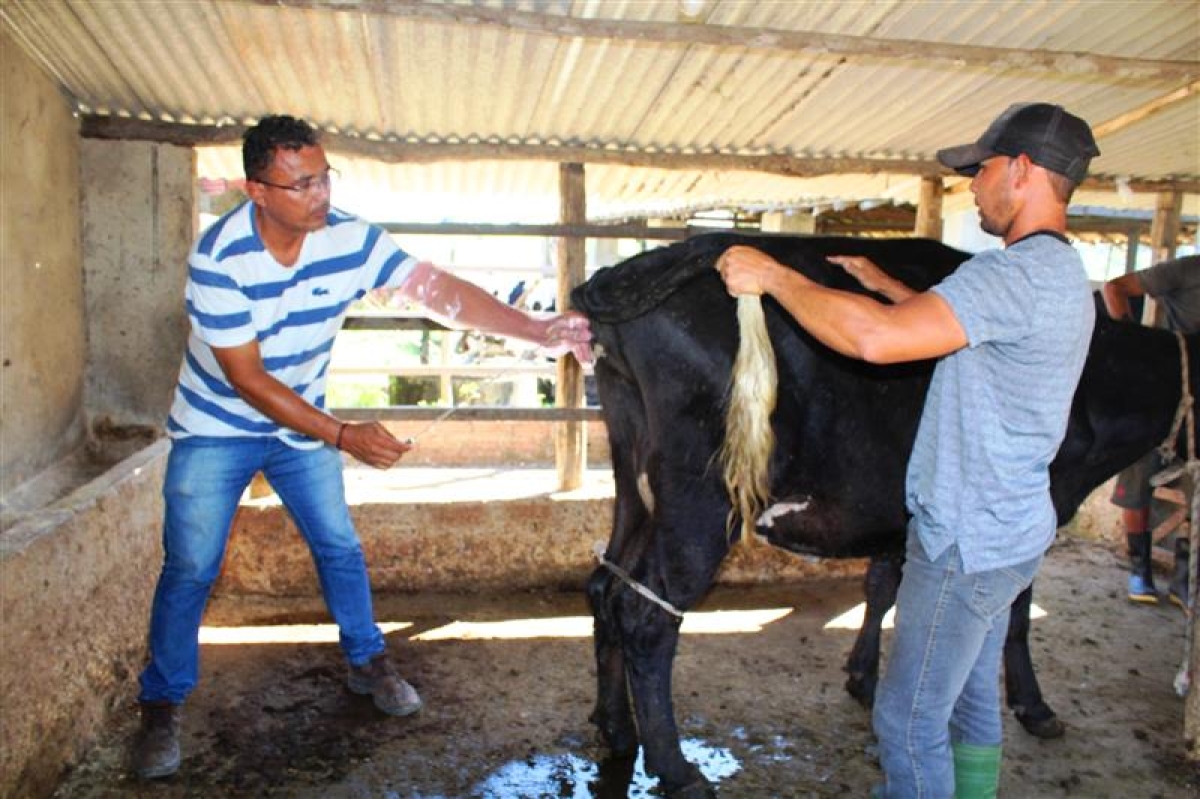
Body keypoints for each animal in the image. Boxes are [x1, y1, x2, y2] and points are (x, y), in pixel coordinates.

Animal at [571, 231, 1190, 796]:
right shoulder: (1041, 504)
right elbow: (1015, 611)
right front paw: (1034, 706)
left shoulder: (902, 511)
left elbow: (884, 585)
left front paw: (864, 677)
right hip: (701, 497)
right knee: (647, 616)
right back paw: (675, 770)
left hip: (636, 484)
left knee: (606, 585)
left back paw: (615, 729)